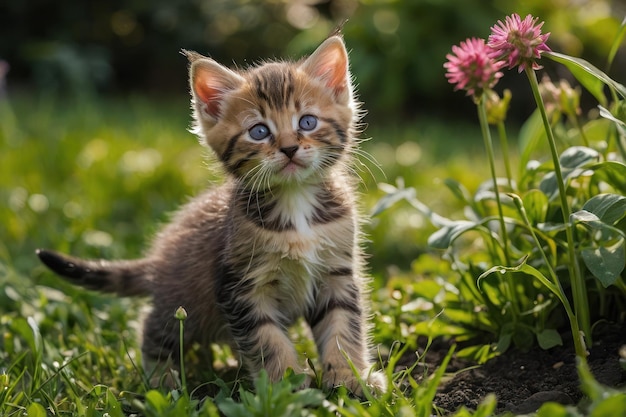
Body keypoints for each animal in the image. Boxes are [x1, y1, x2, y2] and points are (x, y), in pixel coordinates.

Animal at [37, 33, 386, 394]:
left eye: (307, 122)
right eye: (259, 131)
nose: (289, 148)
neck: (296, 203)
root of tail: (159, 258)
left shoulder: (336, 274)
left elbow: (343, 327)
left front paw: (349, 376)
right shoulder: (240, 285)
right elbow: (268, 339)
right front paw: (285, 386)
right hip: (183, 304)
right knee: (153, 327)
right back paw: (161, 378)